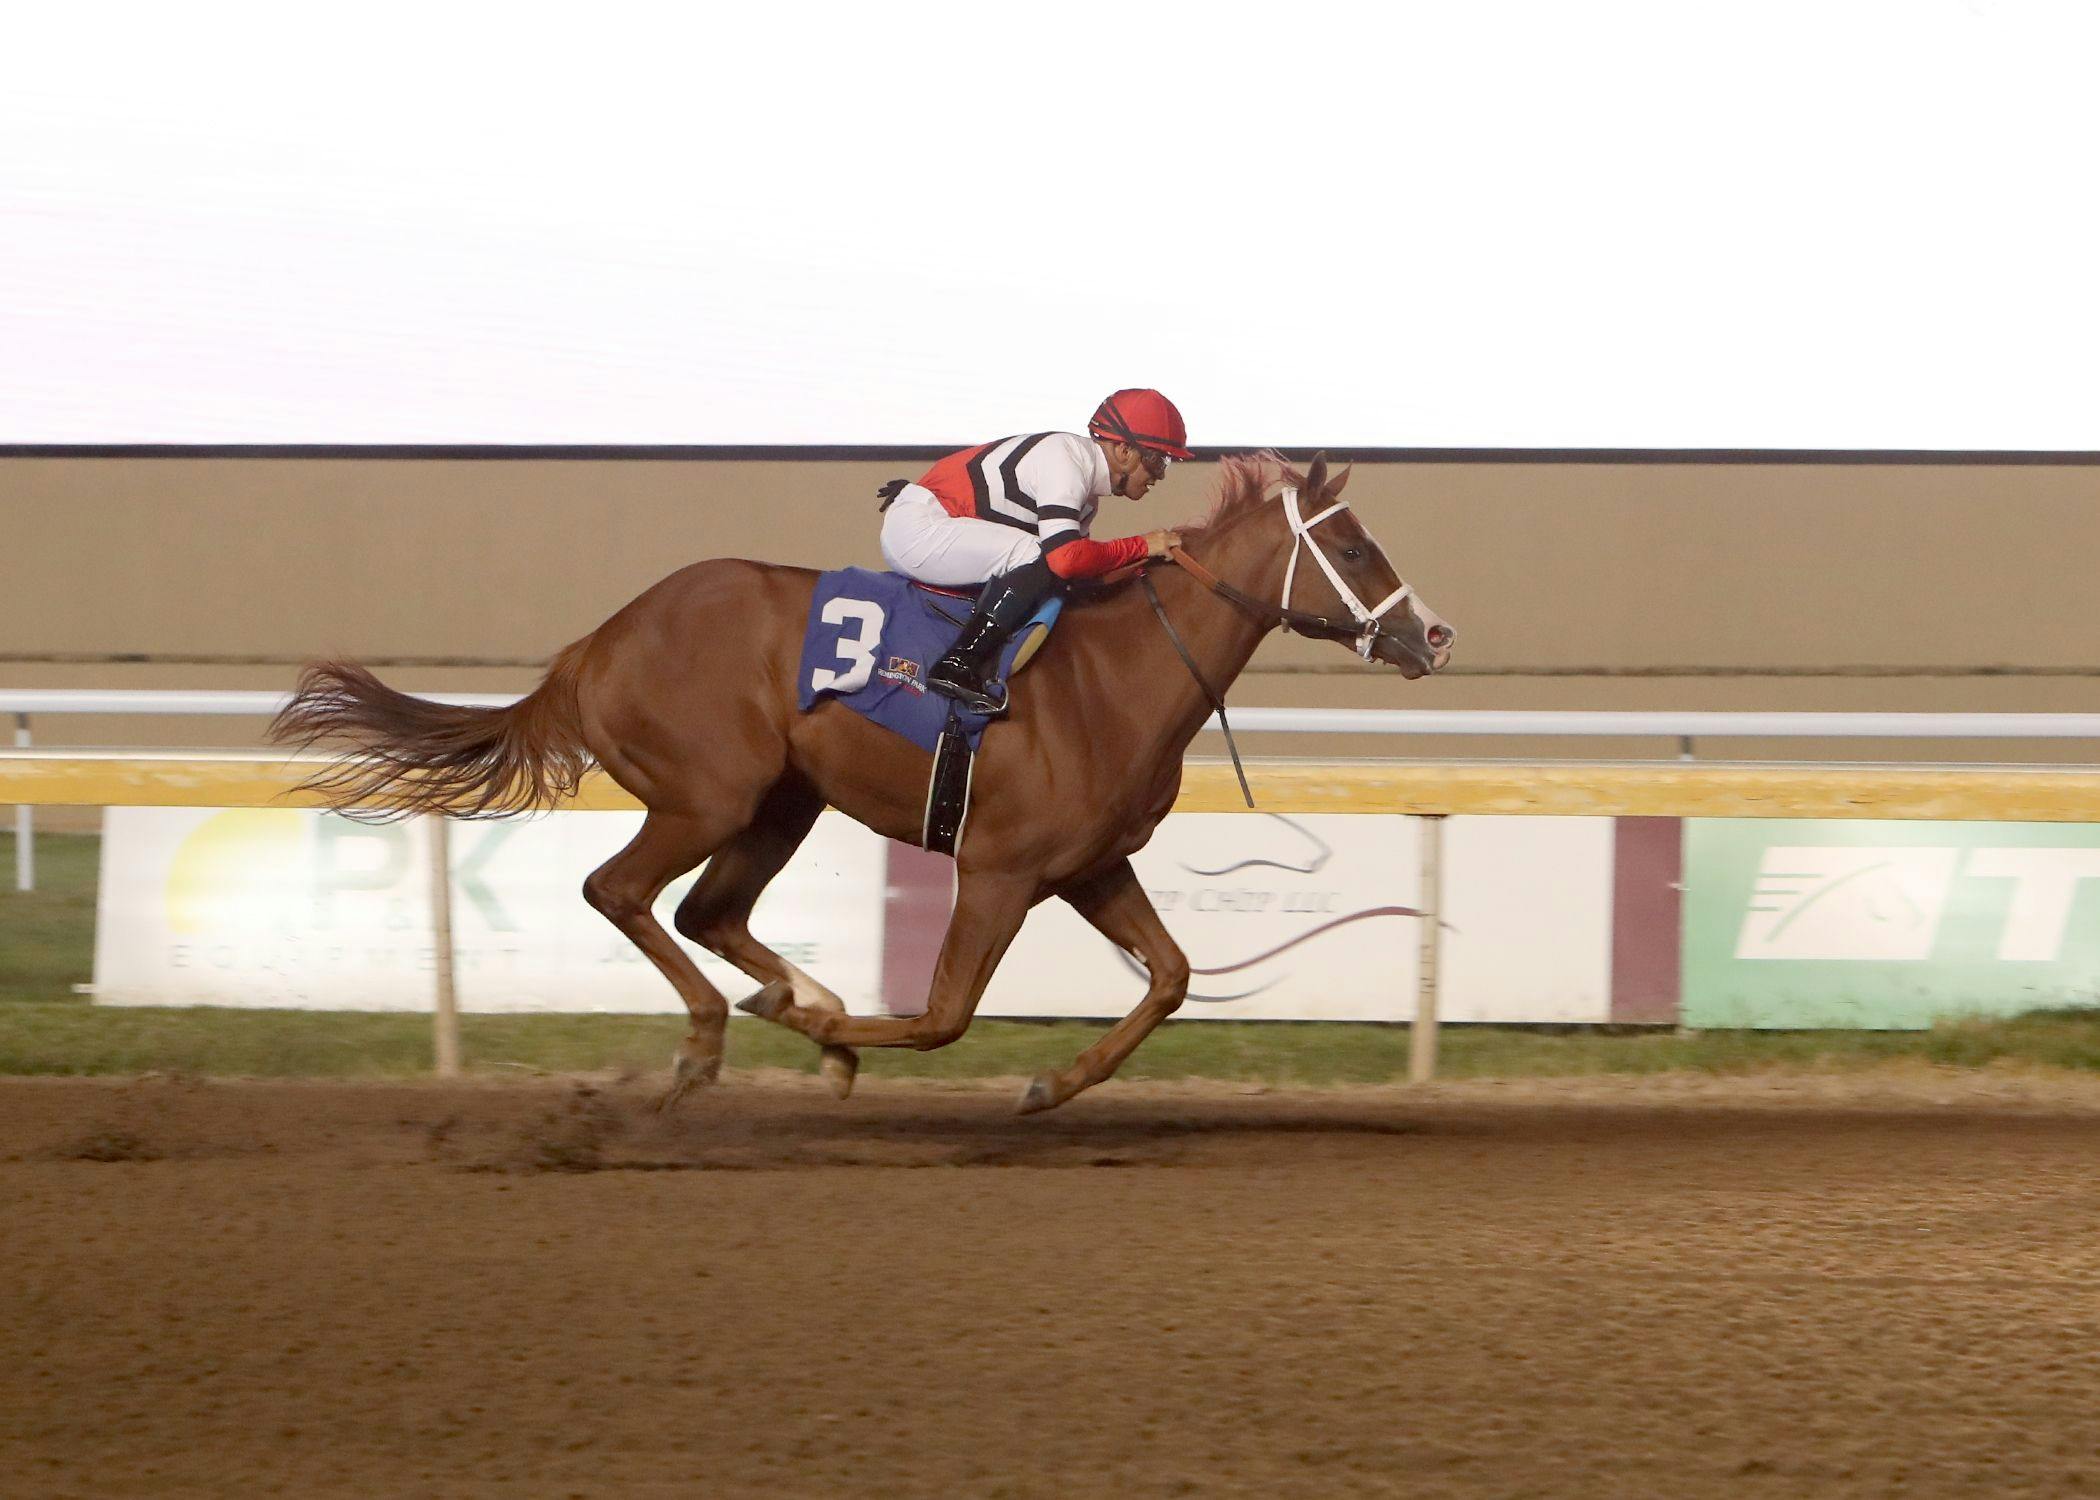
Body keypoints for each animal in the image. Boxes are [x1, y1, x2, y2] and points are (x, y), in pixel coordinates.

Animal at [275, 449, 1444, 1100]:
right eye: (1355, 548)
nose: (1433, 633)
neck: (1119, 672)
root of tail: (594, 644)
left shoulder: (1088, 865)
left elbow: (1170, 977)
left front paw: (1048, 1083)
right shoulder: (1002, 870)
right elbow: (942, 1015)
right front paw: (833, 1036)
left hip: (780, 803)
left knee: (704, 911)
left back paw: (792, 1002)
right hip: (708, 793)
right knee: (621, 892)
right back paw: (718, 1037)